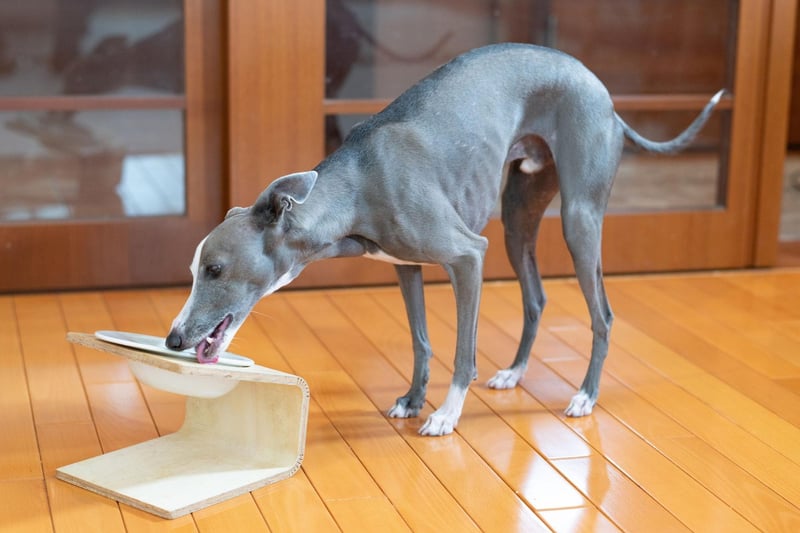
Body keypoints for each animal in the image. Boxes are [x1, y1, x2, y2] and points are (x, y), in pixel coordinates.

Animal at [166, 43, 720, 436]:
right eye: (194, 271)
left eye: (215, 269)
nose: (173, 339)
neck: (360, 182)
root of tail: (602, 92)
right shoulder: (405, 267)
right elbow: (422, 341)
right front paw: (413, 400)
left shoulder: (468, 256)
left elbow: (462, 352)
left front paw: (446, 414)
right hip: (517, 220)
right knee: (536, 297)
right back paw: (514, 373)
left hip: (578, 220)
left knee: (602, 313)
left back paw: (585, 396)